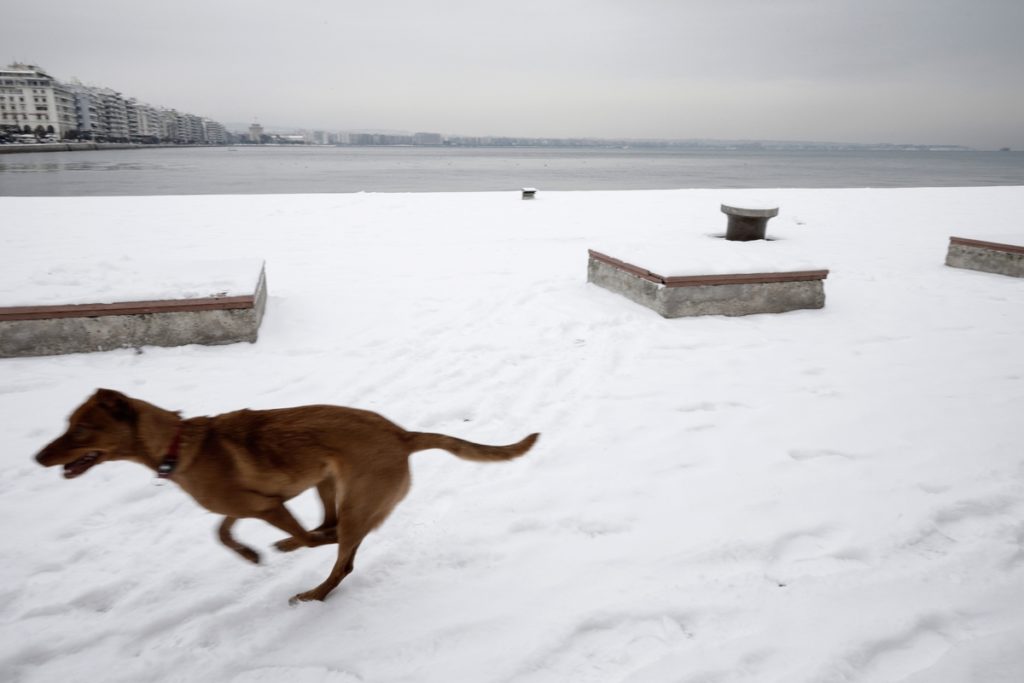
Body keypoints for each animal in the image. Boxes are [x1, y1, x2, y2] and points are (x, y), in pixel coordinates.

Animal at [36, 389, 540, 602]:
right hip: (327, 481)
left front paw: (277, 547)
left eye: (81, 428)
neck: (178, 444)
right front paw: (249, 553)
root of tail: (401, 435)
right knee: (330, 529)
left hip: (354, 497)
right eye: (69, 422)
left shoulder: (269, 505)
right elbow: (222, 531)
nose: (38, 457)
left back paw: (315, 592)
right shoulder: (247, 506)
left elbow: (300, 537)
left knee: (340, 553)